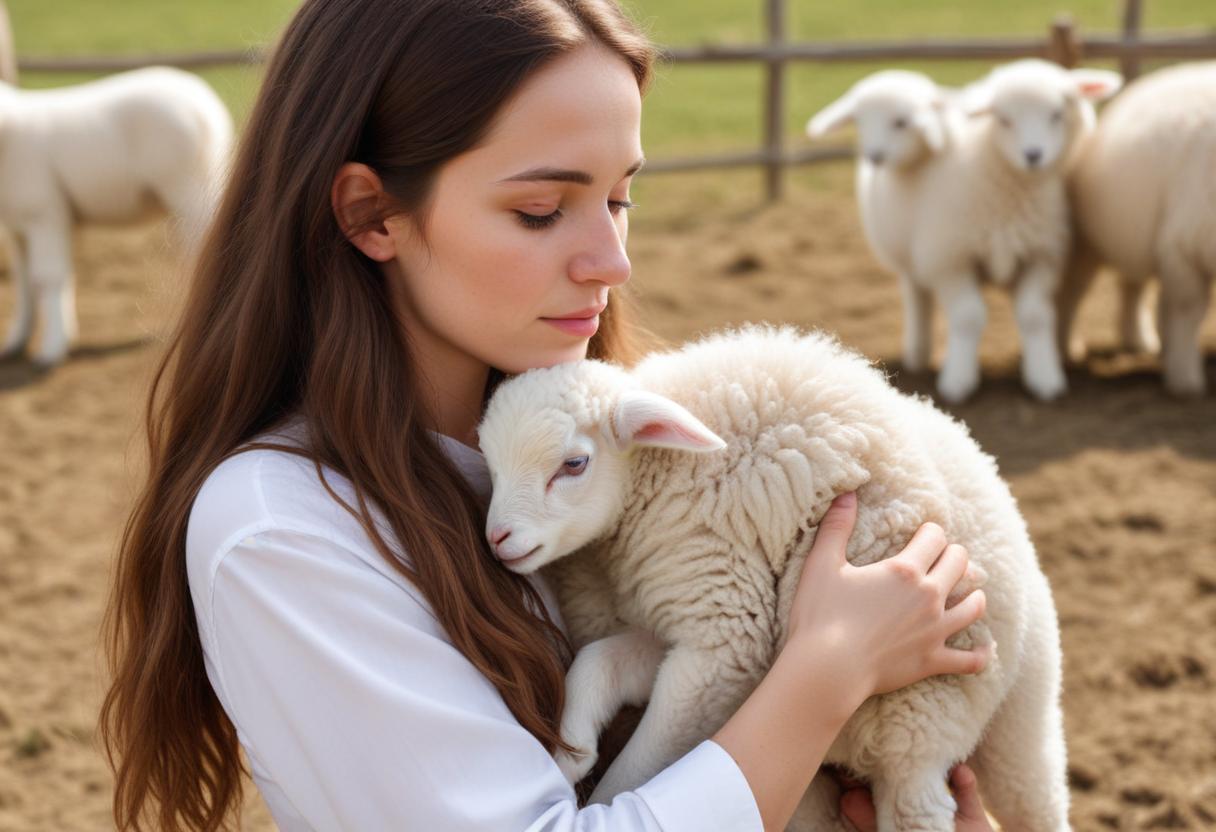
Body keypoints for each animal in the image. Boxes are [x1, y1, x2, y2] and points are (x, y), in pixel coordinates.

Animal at [0, 66, 233, 366]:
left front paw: (51, 350)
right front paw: (17, 342)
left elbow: (48, 278)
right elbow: (25, 282)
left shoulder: (44, 215)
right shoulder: (17, 226)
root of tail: (209, 106)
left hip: (191, 190)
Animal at [477, 324, 1069, 832]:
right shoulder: (710, 628)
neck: (657, 472)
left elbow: (636, 772)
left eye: (573, 465)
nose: (497, 539)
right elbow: (601, 661)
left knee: (962, 808)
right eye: (490, 465)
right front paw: (570, 751)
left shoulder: (724, 626)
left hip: (931, 715)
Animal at [807, 61, 1120, 403]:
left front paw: (1044, 377)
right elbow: (969, 318)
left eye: (1056, 114)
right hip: (909, 256)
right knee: (917, 296)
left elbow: (1035, 316)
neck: (1010, 187)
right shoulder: (950, 259)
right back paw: (918, 352)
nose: (1033, 155)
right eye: (1003, 118)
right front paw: (958, 380)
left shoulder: (1042, 256)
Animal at [1061, 61, 1216, 396]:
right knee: (1071, 291)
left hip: (1135, 235)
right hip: (1088, 240)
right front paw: (1185, 379)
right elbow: (1188, 310)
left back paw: (1139, 339)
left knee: (1132, 285)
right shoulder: (1184, 247)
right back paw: (1065, 348)